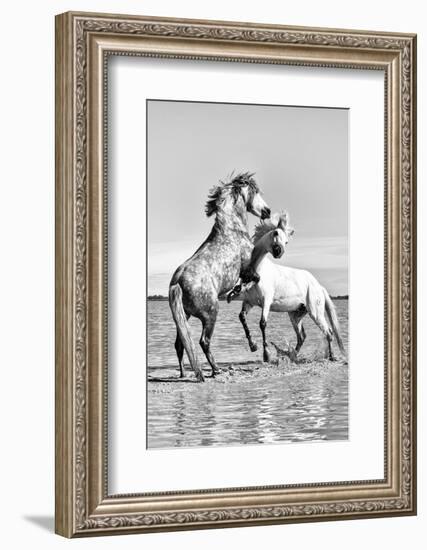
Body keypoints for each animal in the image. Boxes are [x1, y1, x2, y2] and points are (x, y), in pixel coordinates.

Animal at [168, 175, 270, 382]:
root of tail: (178, 282)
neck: (231, 229)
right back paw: (215, 370)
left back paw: (183, 373)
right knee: (203, 342)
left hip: (185, 316)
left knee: (180, 344)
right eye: (255, 192)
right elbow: (254, 279)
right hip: (210, 314)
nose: (267, 211)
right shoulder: (247, 270)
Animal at [229, 213, 346, 364]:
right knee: (302, 336)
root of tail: (319, 287)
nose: (278, 252)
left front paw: (266, 355)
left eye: (286, 242)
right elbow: (242, 317)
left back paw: (331, 357)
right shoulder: (249, 302)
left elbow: (262, 323)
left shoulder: (266, 301)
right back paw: (292, 356)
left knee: (328, 332)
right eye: (275, 233)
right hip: (295, 315)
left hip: (315, 313)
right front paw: (253, 346)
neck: (257, 271)